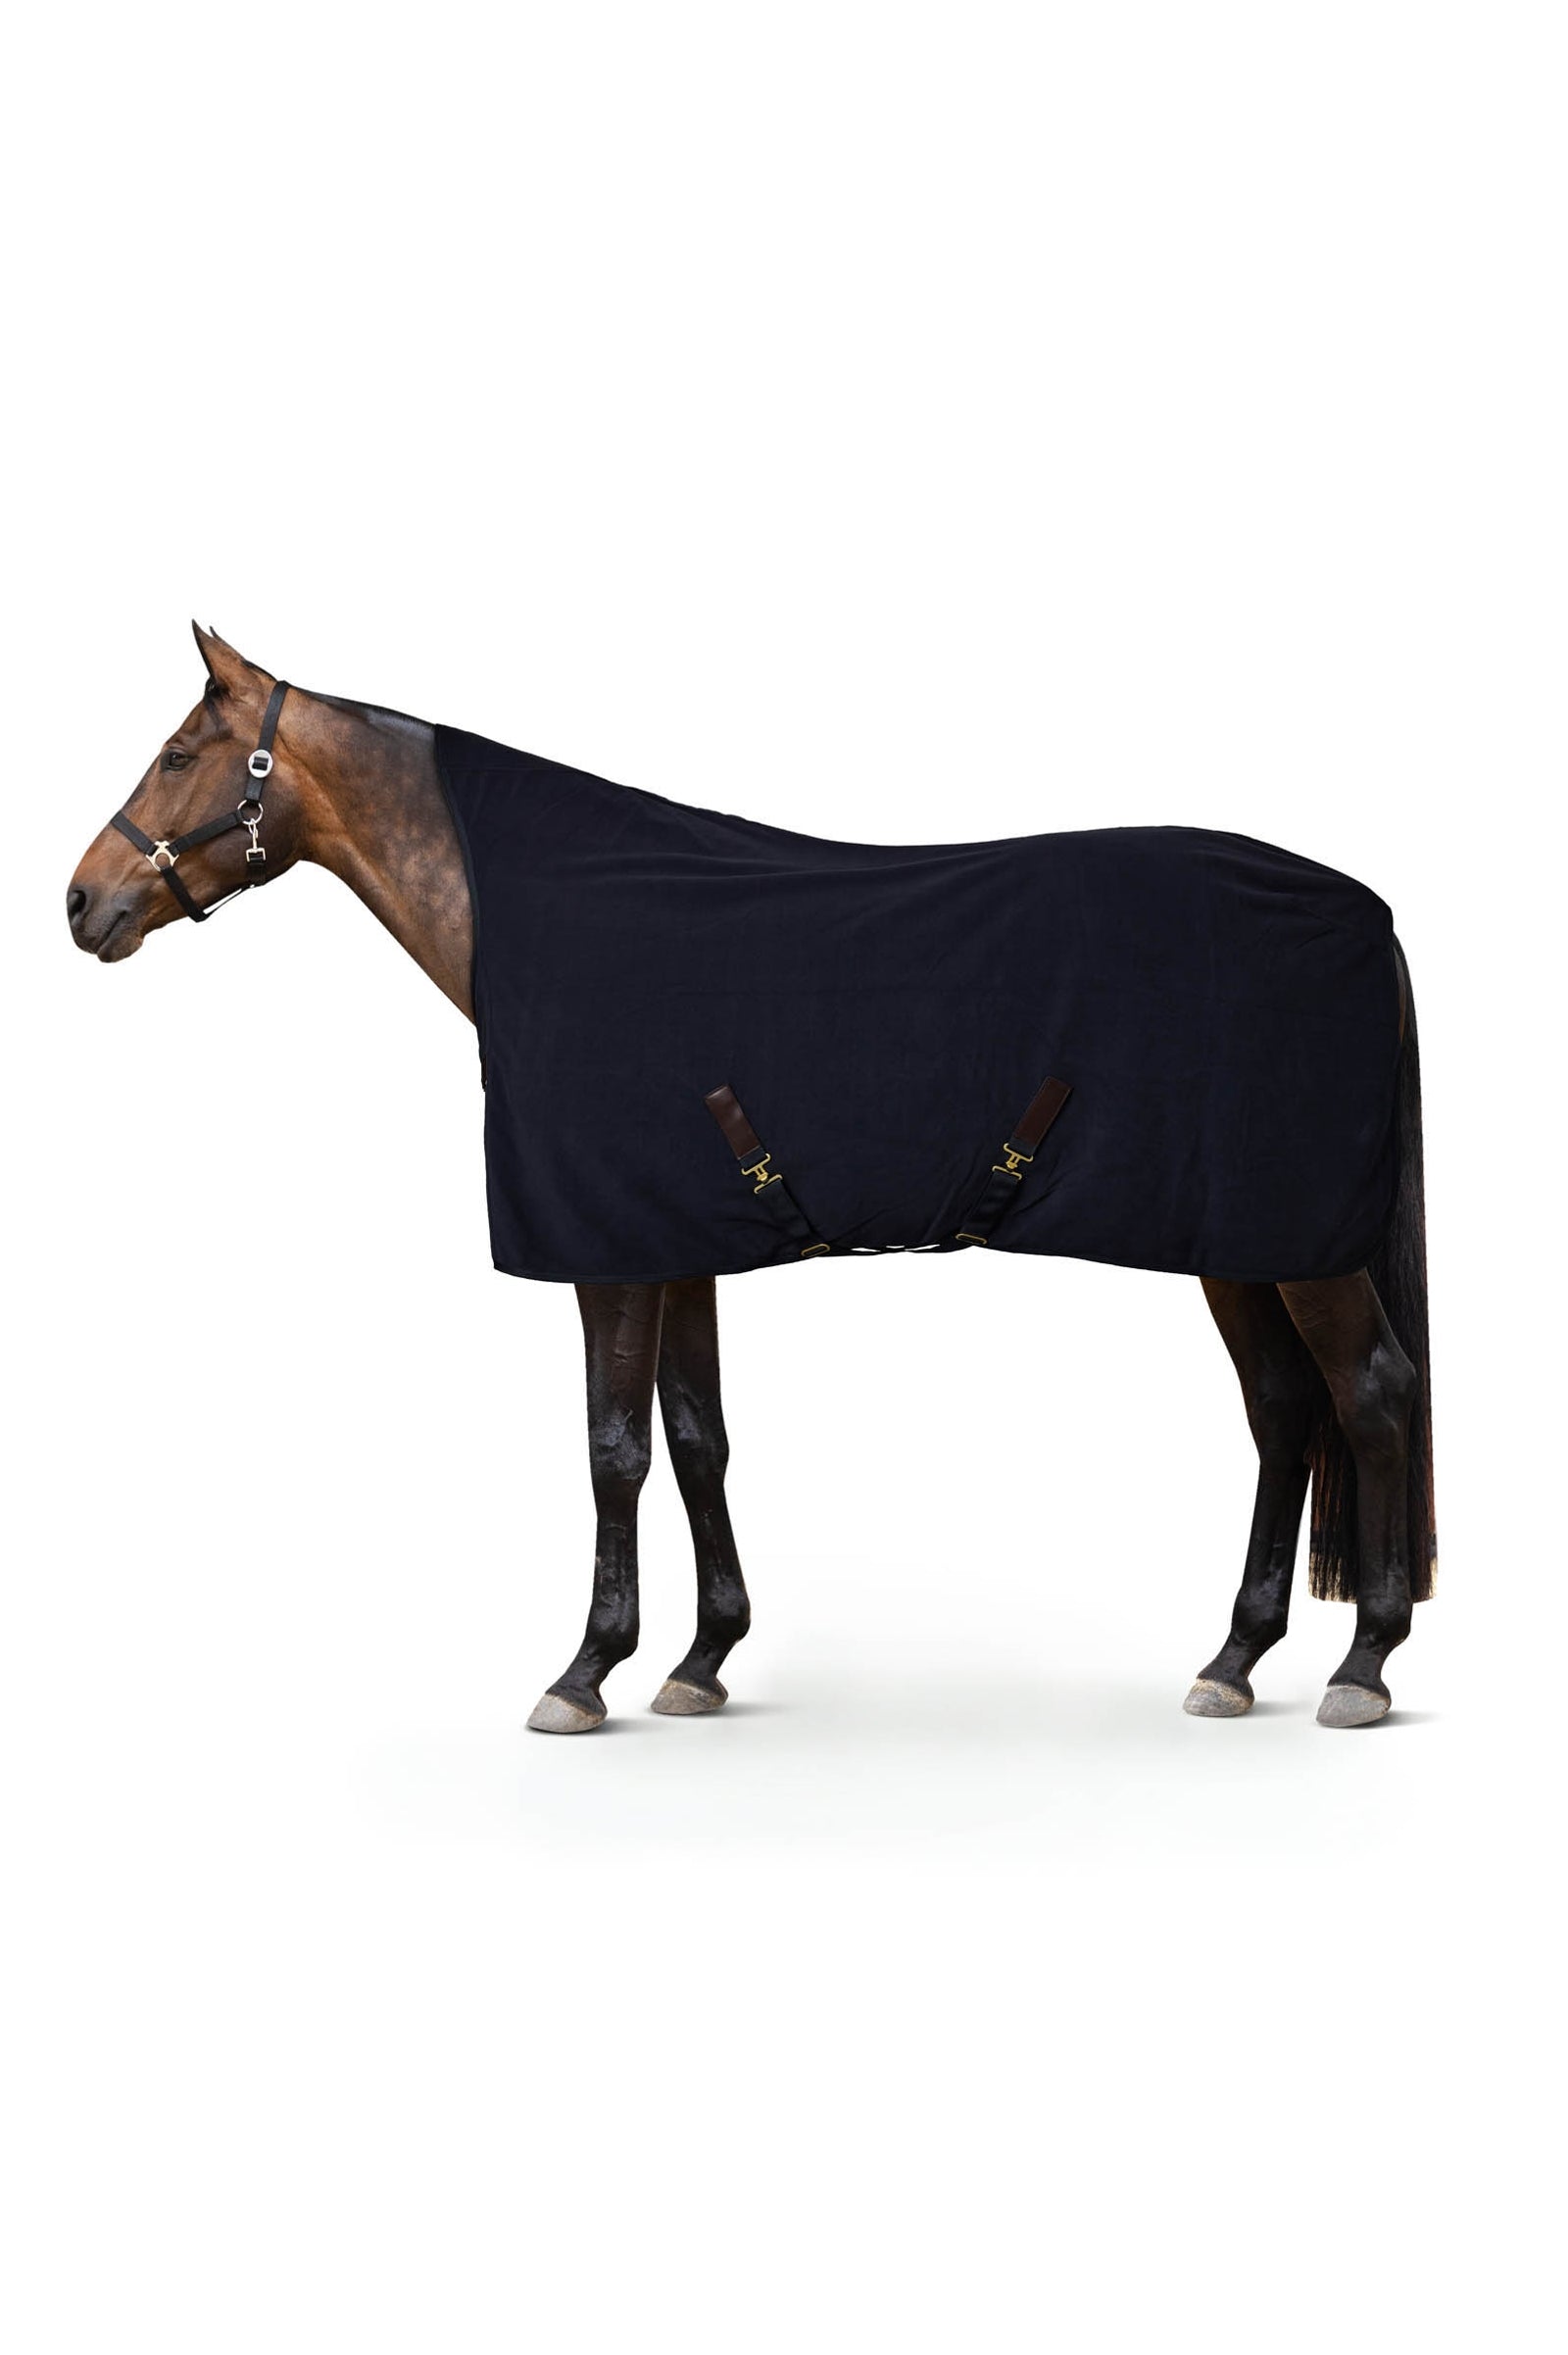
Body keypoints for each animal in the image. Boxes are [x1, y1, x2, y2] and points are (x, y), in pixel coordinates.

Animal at [66, 625, 1435, 1734]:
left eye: (180, 754)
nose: (82, 904)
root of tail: (1364, 913)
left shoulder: (609, 1252)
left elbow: (613, 1447)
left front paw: (585, 1672)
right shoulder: (677, 1242)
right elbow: (696, 1437)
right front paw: (700, 1660)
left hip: (1301, 1249)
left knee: (1369, 1395)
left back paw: (1363, 1665)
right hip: (1240, 1244)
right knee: (1283, 1410)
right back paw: (1235, 1659)